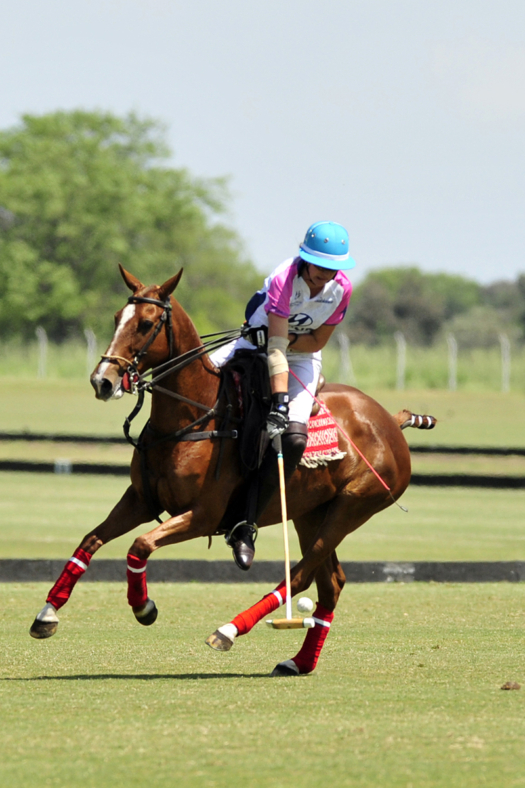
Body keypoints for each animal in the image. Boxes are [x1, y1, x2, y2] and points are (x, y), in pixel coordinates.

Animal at [30, 268, 436, 676]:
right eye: (117, 318)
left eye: (146, 323)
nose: (103, 381)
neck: (191, 417)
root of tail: (389, 420)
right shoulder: (142, 499)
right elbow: (90, 541)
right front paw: (47, 614)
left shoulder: (202, 515)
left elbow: (140, 544)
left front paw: (143, 607)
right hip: (311, 511)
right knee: (331, 582)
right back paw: (299, 662)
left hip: (354, 505)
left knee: (302, 573)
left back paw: (228, 630)